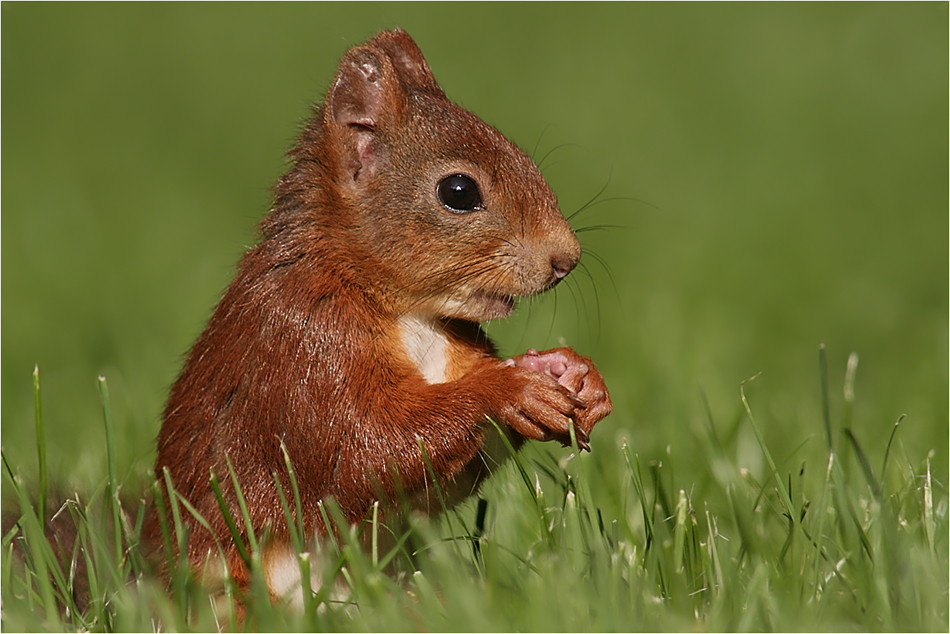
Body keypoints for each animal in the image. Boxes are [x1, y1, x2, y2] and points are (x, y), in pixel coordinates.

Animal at [152, 29, 612, 600]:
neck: (409, 313)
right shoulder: (306, 347)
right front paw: (509, 390)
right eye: (458, 192)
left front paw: (573, 372)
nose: (566, 259)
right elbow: (366, 452)